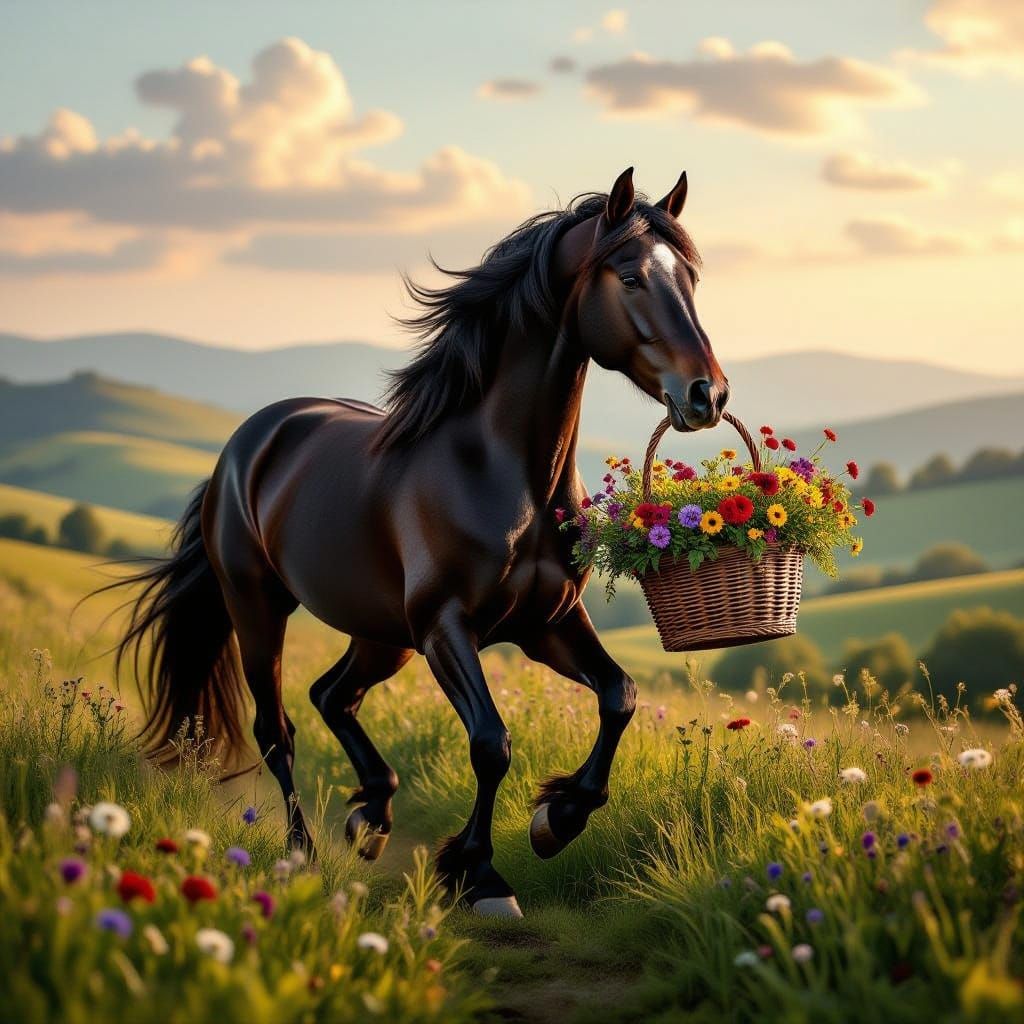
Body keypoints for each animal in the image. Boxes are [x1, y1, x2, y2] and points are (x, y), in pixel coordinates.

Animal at [113, 167, 729, 918]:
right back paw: (302, 852)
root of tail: (248, 443)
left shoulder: (548, 624)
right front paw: (481, 874)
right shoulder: (446, 627)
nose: (707, 395)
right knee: (277, 729)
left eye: (689, 278)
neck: (501, 471)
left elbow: (620, 696)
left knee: (332, 696)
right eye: (632, 276)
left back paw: (371, 816)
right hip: (261, 609)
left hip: (383, 635)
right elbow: (491, 742)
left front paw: (555, 819)